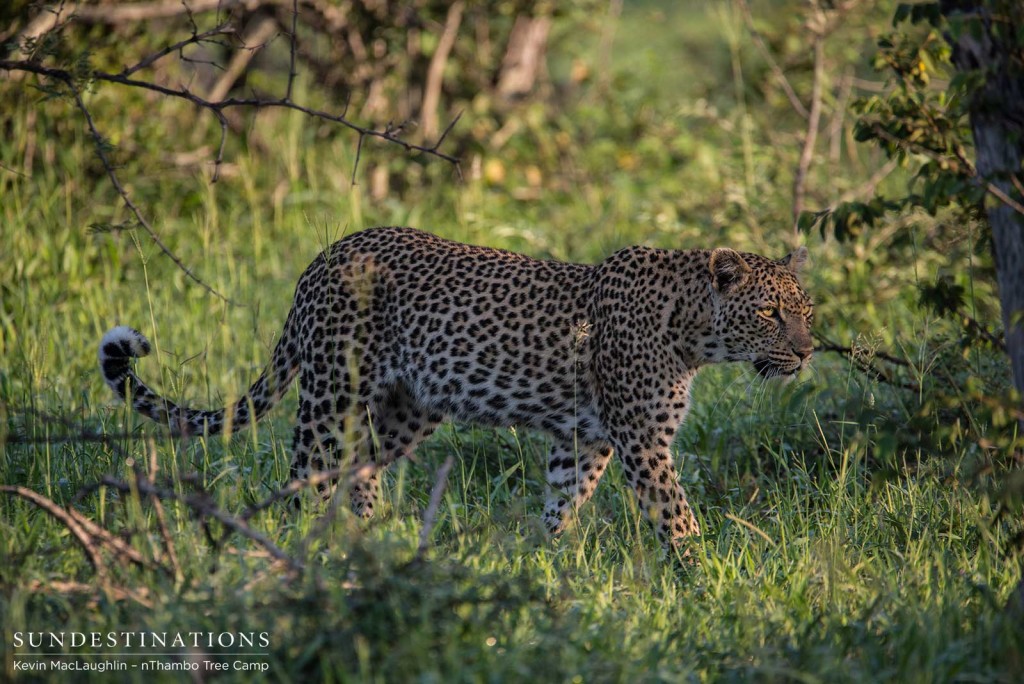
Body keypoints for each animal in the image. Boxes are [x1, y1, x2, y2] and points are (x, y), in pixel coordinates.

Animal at [97, 227, 815, 552]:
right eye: (770, 312)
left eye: (805, 309)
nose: (808, 350)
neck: (694, 332)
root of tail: (321, 258)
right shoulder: (641, 439)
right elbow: (676, 513)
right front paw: (707, 573)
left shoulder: (585, 439)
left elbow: (564, 500)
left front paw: (546, 557)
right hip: (330, 393)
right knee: (305, 471)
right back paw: (306, 545)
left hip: (404, 407)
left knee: (361, 468)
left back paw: (370, 537)